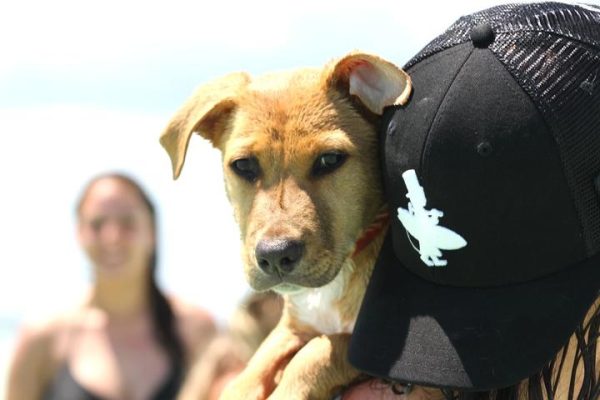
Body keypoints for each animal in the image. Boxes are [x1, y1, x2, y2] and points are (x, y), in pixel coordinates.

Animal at [159, 54, 412, 400]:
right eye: (243, 165)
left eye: (330, 160)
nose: (276, 255)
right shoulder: (293, 326)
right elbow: (256, 364)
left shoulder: (383, 348)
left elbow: (317, 354)